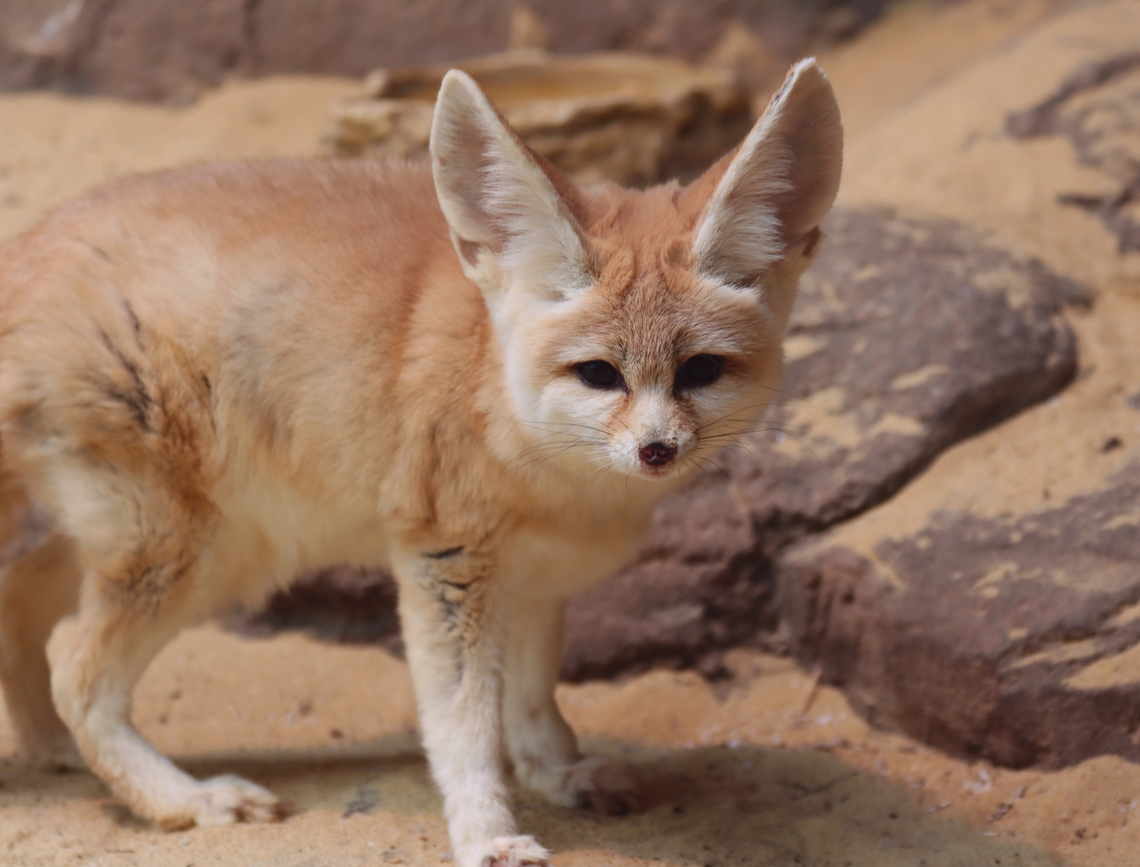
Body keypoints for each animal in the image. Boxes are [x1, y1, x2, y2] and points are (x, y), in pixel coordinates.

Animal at [0, 60, 841, 866]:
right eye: (599, 374)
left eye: (701, 370)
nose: (657, 449)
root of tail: (27, 250)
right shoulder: (445, 567)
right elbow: (464, 725)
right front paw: (487, 835)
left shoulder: (538, 576)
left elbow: (532, 695)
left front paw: (554, 771)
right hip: (195, 552)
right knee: (79, 672)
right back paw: (181, 796)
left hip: (184, 542)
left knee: (19, 603)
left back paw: (54, 752)